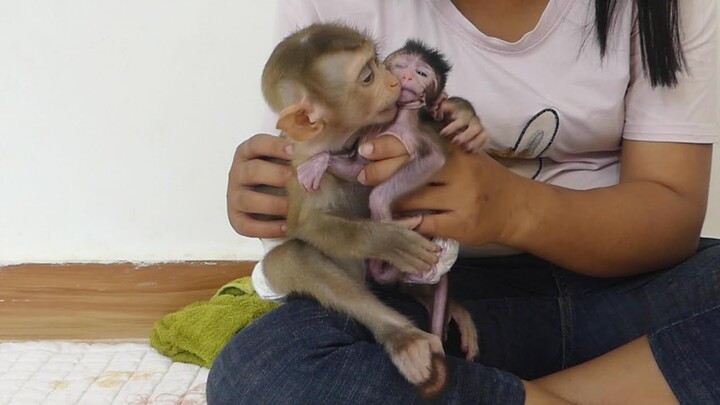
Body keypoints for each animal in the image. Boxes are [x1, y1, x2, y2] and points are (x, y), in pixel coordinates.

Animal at [258, 22, 450, 398]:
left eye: (377, 62)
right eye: (367, 77)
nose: (393, 80)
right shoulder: (299, 175)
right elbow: (308, 226)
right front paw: (388, 240)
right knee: (290, 255)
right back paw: (404, 337)